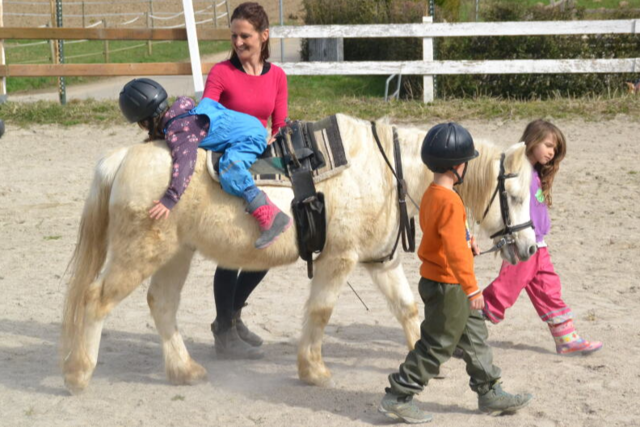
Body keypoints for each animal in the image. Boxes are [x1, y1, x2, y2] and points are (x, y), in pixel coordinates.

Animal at [62, 113, 536, 394]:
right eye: (514, 196)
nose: (529, 246)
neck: (384, 172)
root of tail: (122, 158)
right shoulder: (338, 260)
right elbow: (321, 314)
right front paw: (314, 371)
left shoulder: (381, 261)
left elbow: (407, 309)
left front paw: (427, 362)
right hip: (139, 254)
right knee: (96, 300)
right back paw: (78, 374)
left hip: (176, 255)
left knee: (161, 305)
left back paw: (184, 370)